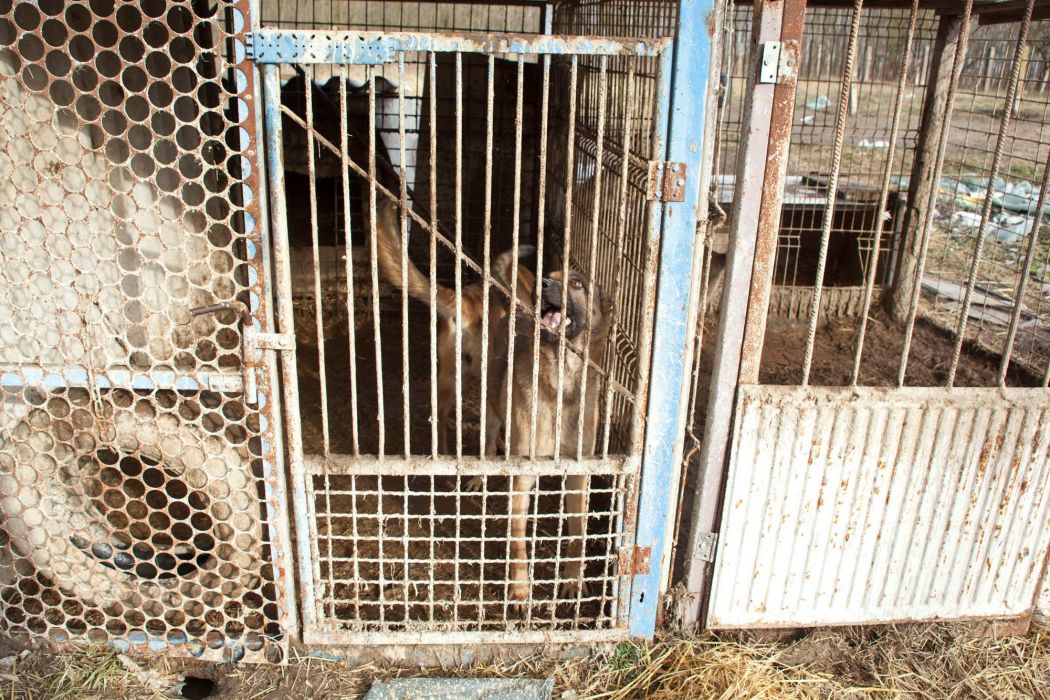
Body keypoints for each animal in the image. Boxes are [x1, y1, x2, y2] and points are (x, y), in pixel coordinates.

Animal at [484, 268, 613, 605]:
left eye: (577, 283)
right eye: (550, 274)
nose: (540, 283)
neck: (562, 381)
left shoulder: (580, 474)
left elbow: (578, 533)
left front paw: (572, 581)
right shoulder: (522, 476)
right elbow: (518, 540)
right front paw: (519, 588)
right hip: (490, 404)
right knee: (489, 437)